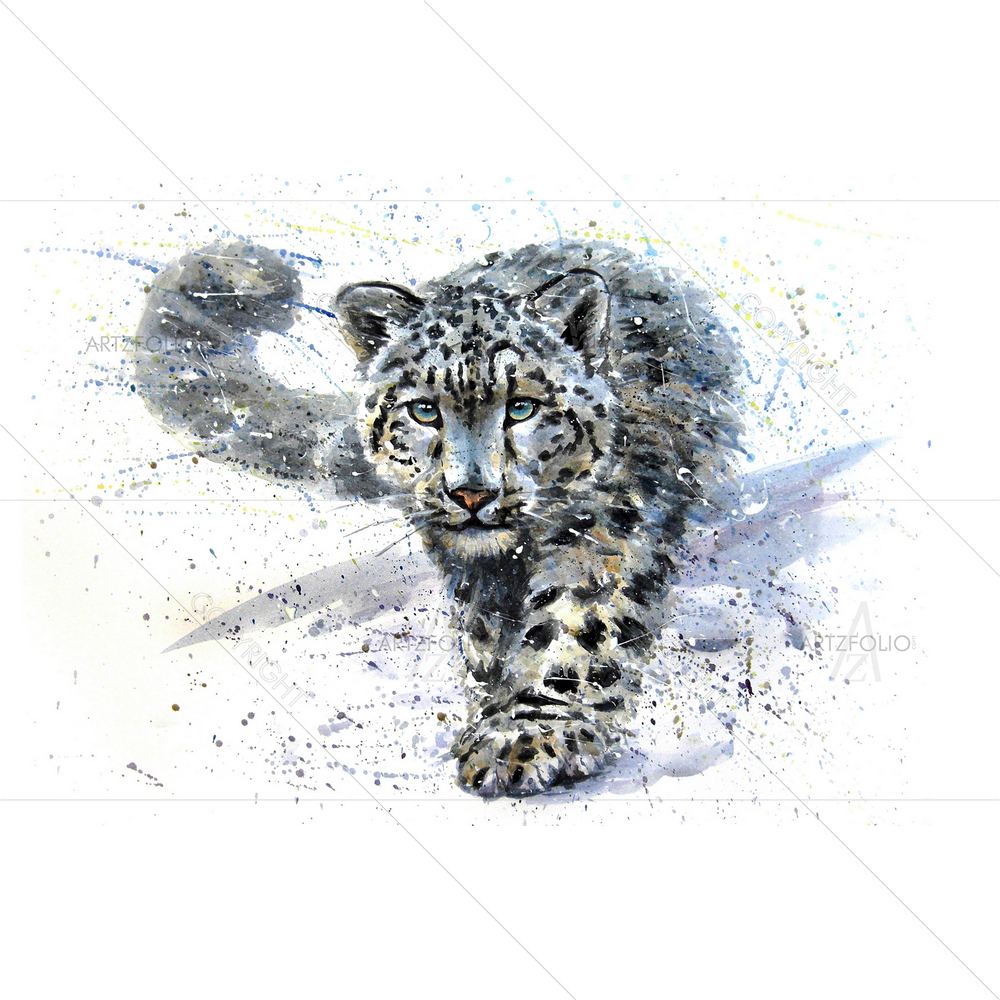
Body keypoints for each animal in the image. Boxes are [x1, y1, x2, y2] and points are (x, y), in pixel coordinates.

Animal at [134, 239, 743, 796]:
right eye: (424, 409)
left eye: (523, 406)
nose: (470, 493)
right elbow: (490, 631)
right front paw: (498, 701)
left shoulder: (601, 533)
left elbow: (575, 628)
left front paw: (524, 734)